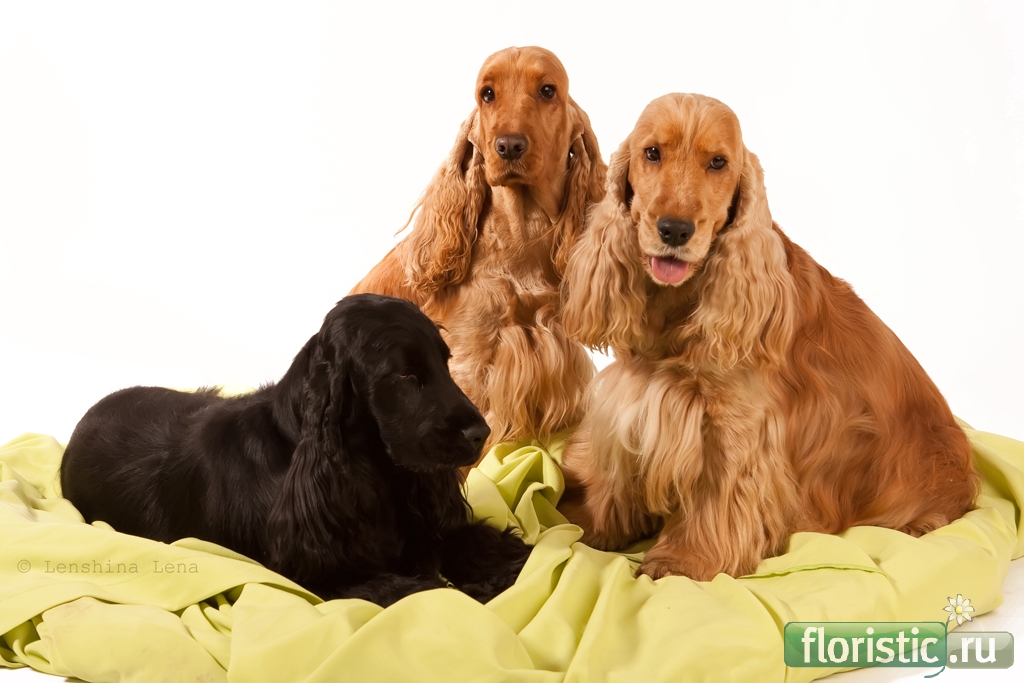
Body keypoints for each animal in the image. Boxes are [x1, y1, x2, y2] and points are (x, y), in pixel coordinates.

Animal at [60, 294, 530, 606]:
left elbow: (471, 540)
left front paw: (508, 564)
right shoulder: (319, 576)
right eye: (404, 374)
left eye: (444, 362)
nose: (482, 433)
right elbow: (423, 589)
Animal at [558, 93, 978, 582]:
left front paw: (683, 561)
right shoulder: (631, 394)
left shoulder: (734, 425)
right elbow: (611, 475)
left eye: (718, 162)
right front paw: (587, 526)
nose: (675, 229)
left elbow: (716, 496)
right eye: (652, 153)